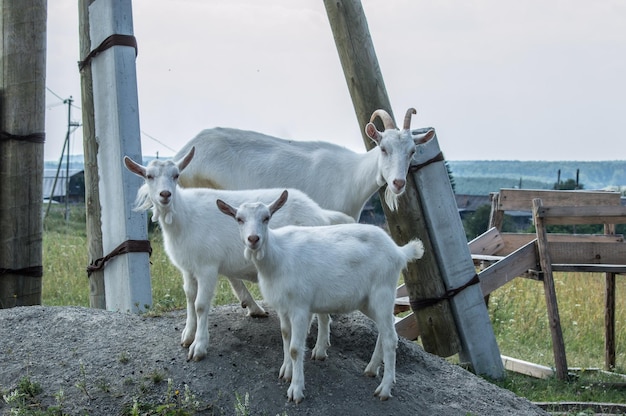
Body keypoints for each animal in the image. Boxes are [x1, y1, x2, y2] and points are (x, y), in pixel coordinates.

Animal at [124, 147, 354, 360]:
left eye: (176, 175)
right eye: (149, 176)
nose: (165, 195)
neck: (185, 216)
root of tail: (320, 214)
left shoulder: (207, 267)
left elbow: (200, 305)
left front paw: (199, 347)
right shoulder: (188, 268)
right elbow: (189, 297)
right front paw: (188, 335)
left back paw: (319, 348)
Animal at [216, 191, 424, 404]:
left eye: (266, 218)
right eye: (239, 219)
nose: (253, 239)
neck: (277, 257)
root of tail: (399, 251)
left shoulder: (300, 307)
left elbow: (295, 348)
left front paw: (296, 390)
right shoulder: (282, 307)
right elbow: (285, 336)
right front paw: (286, 372)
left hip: (383, 292)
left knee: (391, 338)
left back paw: (384, 388)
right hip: (368, 301)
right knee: (386, 328)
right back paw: (372, 369)